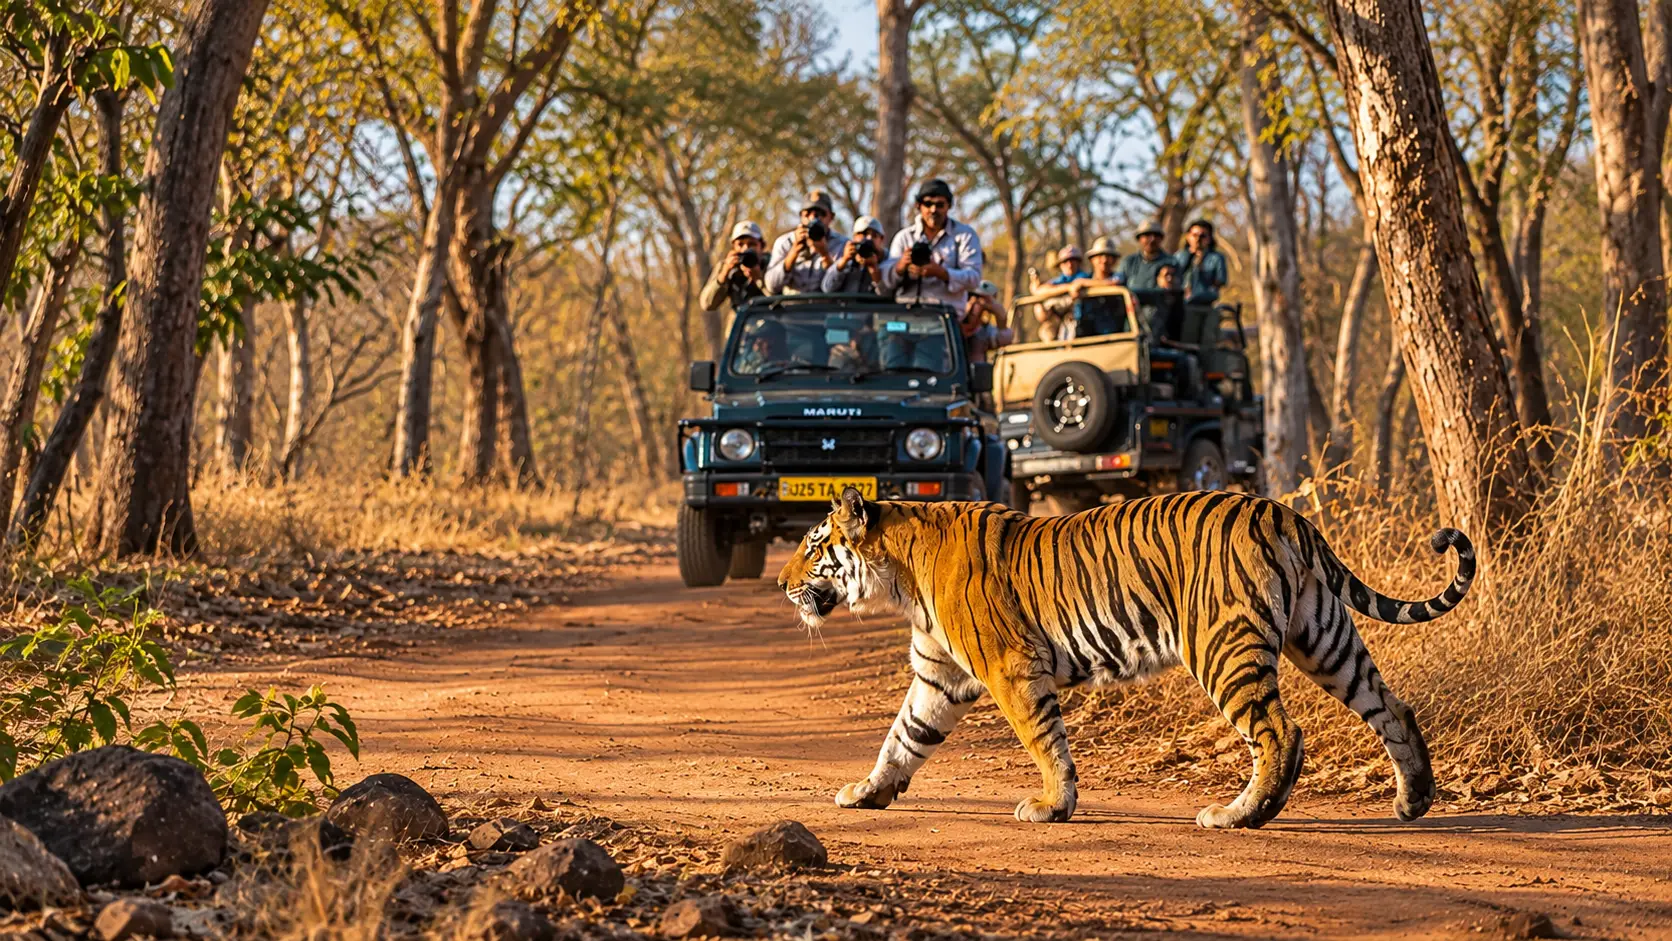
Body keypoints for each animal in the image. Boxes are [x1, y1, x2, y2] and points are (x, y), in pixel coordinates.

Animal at [777, 487, 1475, 829]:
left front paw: (1052, 806)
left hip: (1221, 646)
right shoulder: (938, 677)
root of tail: (1283, 513)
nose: (781, 584)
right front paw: (868, 792)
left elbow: (1043, 740)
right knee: (1392, 707)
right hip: (1324, 638)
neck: (899, 576)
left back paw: (1240, 815)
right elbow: (901, 737)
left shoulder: (1009, 668)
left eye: (812, 544)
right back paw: (1414, 800)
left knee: (1281, 731)